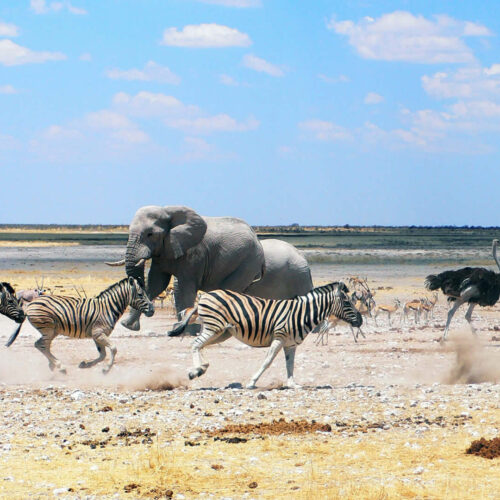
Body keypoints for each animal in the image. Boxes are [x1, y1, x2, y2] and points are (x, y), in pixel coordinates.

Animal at [5, 278, 154, 376]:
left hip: (52, 331)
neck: (109, 307)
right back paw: (60, 367)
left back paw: (53, 365)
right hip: (48, 329)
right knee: (40, 345)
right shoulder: (98, 333)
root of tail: (30, 305)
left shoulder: (96, 335)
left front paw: (84, 365)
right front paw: (106, 370)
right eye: (140, 294)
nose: (152, 310)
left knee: (43, 346)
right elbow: (113, 349)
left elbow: (102, 355)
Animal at [106, 205, 312, 330]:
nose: (151, 312)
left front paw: (184, 329)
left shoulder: (194, 253)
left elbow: (183, 287)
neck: (168, 210)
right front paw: (127, 326)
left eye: (150, 234)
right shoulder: (165, 250)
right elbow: (156, 283)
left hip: (249, 264)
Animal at [167, 284, 360, 388]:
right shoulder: (279, 337)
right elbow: (267, 361)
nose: (360, 320)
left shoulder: (290, 344)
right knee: (195, 344)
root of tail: (205, 296)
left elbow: (290, 364)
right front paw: (252, 382)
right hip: (214, 327)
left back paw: (201, 367)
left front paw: (292, 384)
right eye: (347, 302)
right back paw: (196, 370)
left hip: (220, 331)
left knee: (200, 344)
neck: (301, 314)